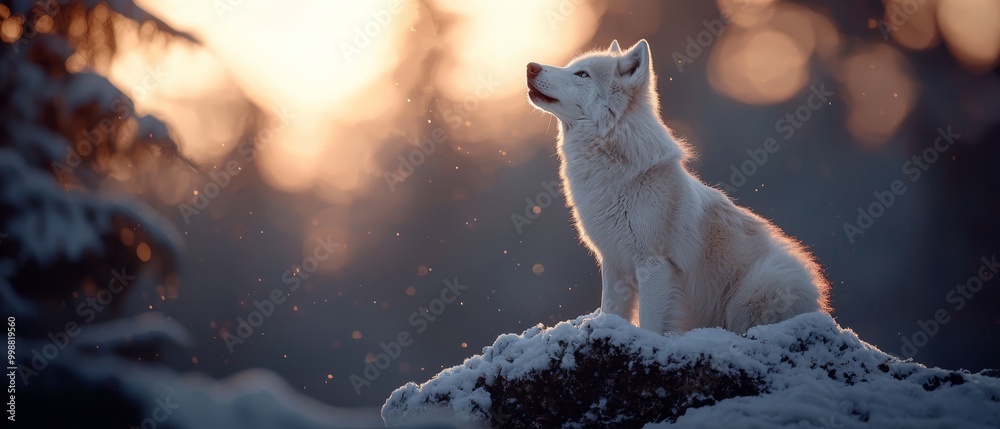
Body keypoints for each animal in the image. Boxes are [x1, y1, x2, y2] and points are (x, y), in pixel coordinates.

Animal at [528, 40, 832, 332]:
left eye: (582, 74)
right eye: (572, 68)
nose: (530, 66)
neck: (614, 170)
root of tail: (818, 301)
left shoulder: (653, 264)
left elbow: (650, 325)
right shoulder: (614, 263)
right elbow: (612, 311)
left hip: (759, 287)